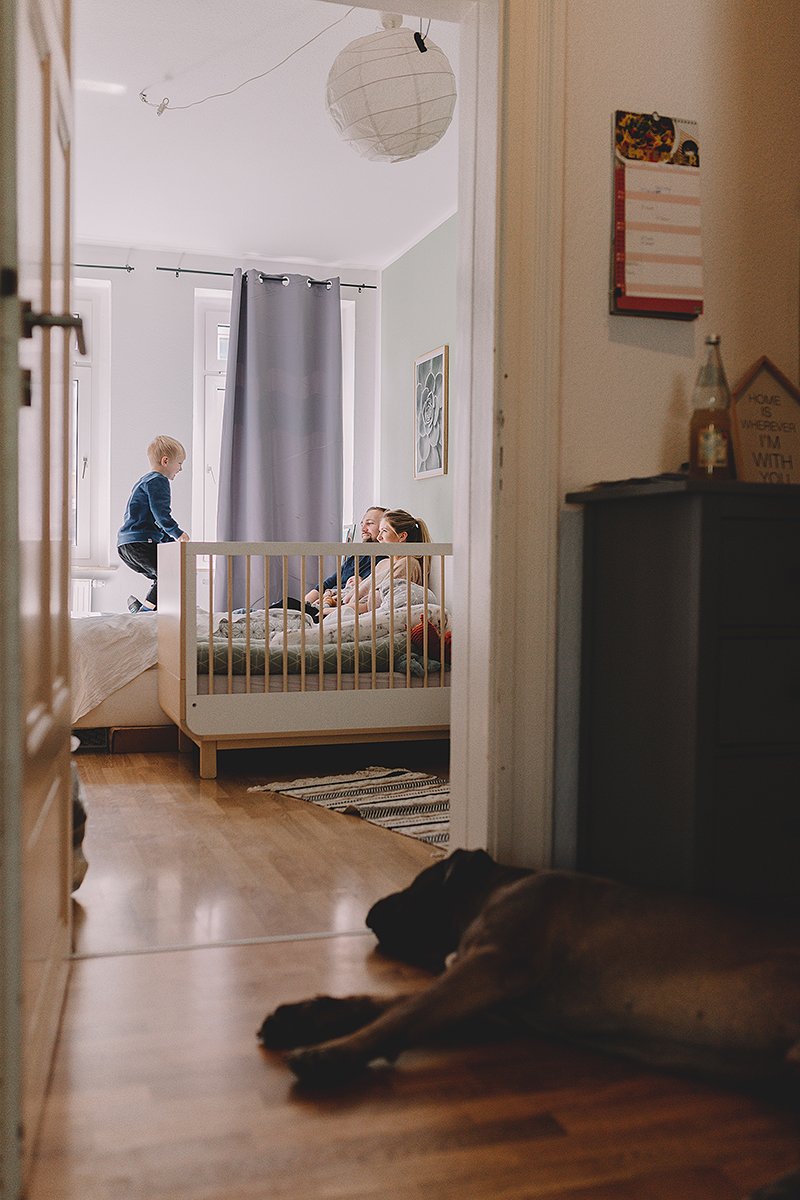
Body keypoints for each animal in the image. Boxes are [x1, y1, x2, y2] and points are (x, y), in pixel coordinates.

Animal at [257, 849, 800, 1195]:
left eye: (417, 884)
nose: (369, 913)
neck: (504, 886)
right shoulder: (492, 1005)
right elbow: (381, 1003)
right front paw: (305, 1016)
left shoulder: (492, 967)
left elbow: (400, 1014)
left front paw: (333, 1053)